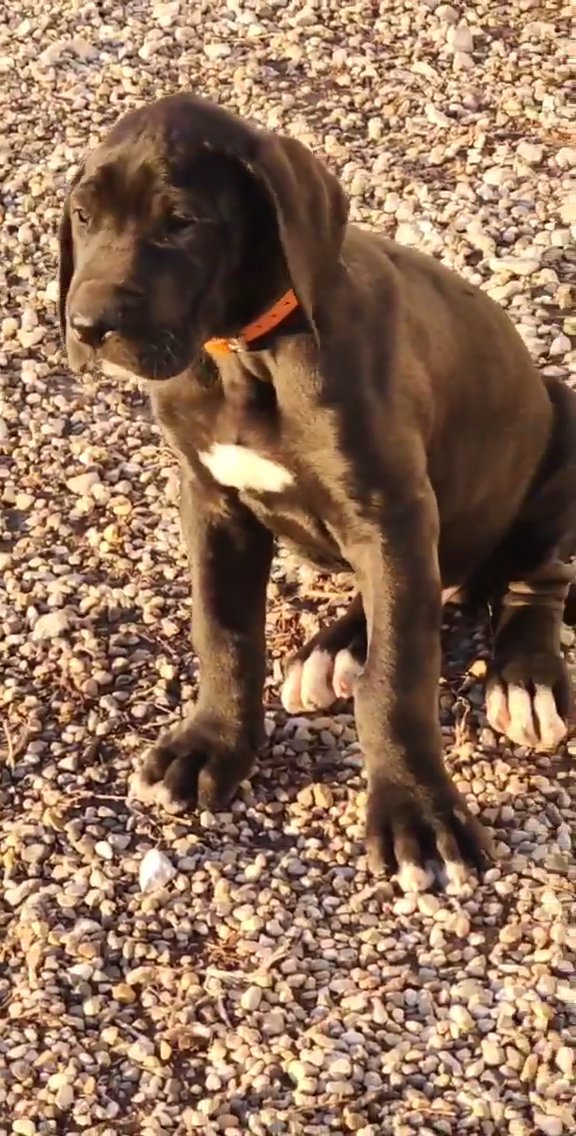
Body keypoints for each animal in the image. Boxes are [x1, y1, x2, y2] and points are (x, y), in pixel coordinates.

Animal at [59, 93, 576, 890]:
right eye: (83, 216)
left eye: (181, 222)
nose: (88, 326)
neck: (244, 355)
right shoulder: (212, 503)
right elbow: (224, 632)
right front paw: (209, 747)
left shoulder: (390, 515)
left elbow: (399, 676)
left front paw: (417, 813)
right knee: (428, 591)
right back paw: (337, 648)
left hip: (561, 430)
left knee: (531, 583)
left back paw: (525, 679)